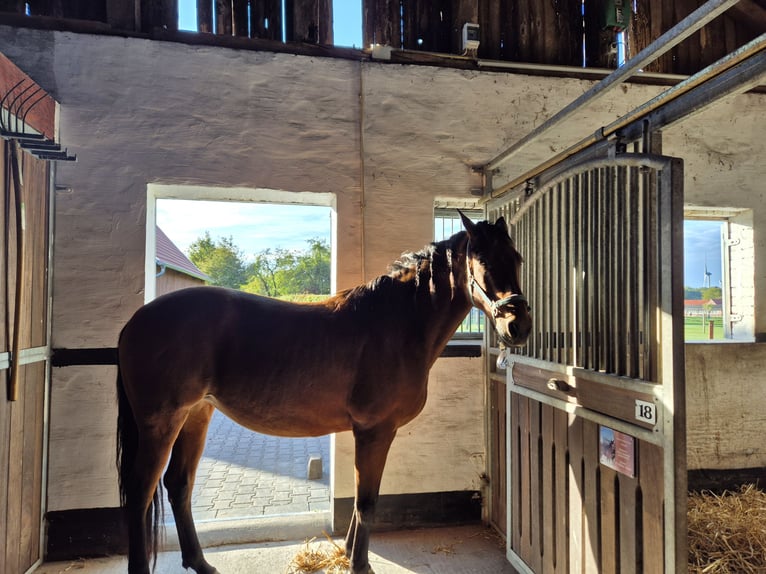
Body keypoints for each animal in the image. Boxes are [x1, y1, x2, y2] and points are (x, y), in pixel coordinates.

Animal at [116, 211, 531, 574]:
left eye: (516, 258)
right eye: (482, 261)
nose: (519, 325)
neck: (395, 324)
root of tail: (136, 321)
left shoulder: (369, 433)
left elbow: (363, 500)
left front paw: (347, 552)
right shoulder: (375, 431)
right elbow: (367, 502)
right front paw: (360, 564)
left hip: (195, 415)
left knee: (178, 485)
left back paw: (201, 563)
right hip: (161, 422)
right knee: (139, 491)